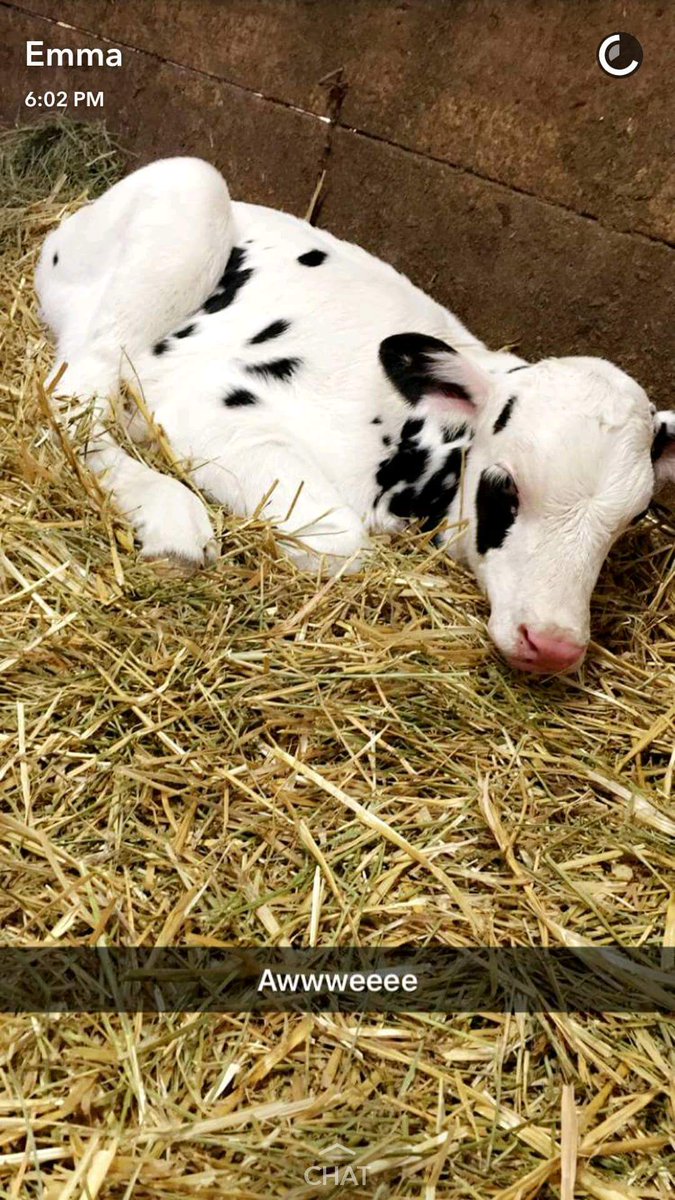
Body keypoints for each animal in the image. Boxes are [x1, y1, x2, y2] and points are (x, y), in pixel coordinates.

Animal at [35, 157, 675, 675]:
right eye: (505, 486)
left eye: (629, 519)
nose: (554, 645)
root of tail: (69, 227)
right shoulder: (209, 405)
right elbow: (342, 543)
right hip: (191, 195)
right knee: (71, 394)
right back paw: (171, 518)